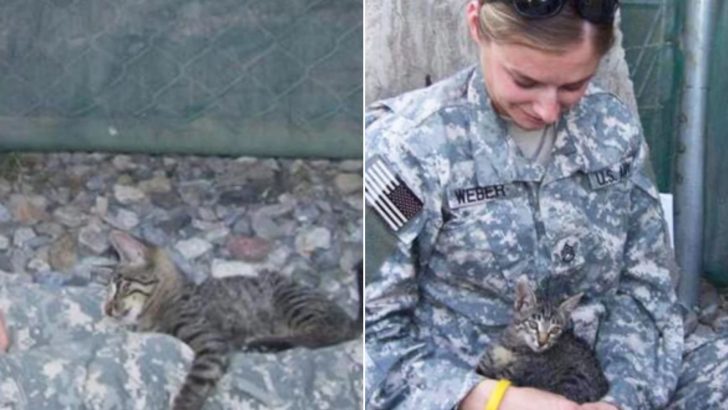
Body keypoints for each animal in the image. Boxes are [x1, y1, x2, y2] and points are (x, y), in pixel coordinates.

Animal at [103, 231, 362, 410]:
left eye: (122, 287)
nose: (107, 309)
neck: (168, 299)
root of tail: (348, 317)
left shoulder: (211, 343)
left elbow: (195, 382)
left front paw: (183, 404)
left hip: (292, 301)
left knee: (326, 334)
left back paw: (264, 343)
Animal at [478, 278, 608, 404]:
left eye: (554, 330)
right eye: (533, 325)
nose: (542, 342)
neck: (513, 347)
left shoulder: (510, 376)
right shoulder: (485, 365)